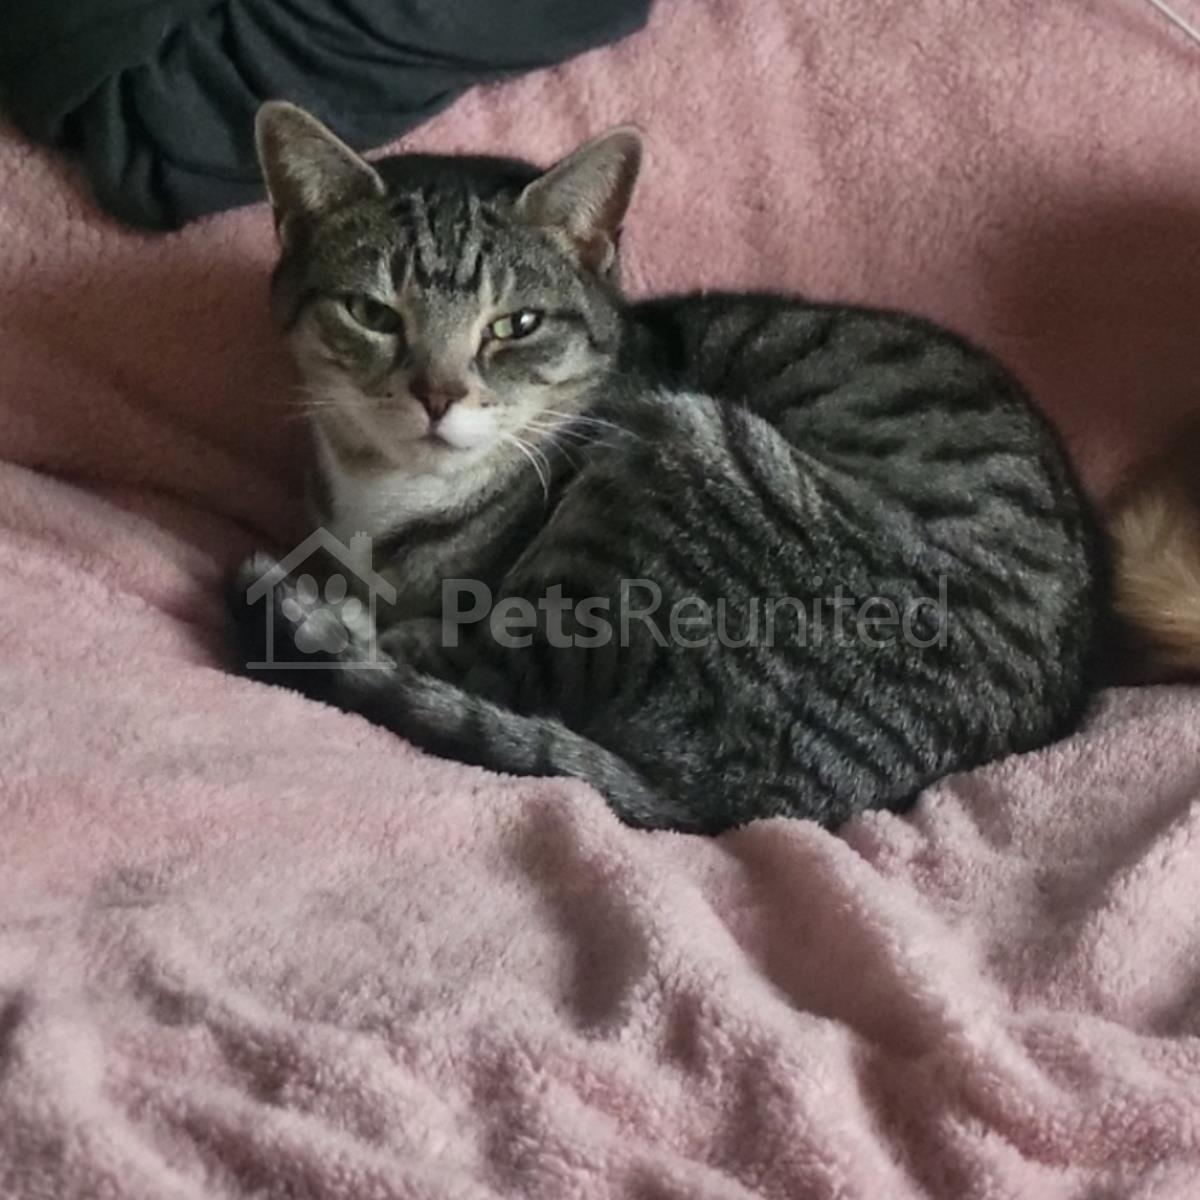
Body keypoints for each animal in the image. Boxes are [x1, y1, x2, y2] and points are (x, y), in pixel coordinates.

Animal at [230, 101, 1107, 835]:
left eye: (515, 325)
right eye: (372, 313)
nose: (437, 395)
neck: (388, 493)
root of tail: (750, 802)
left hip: (674, 457)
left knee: (510, 670)